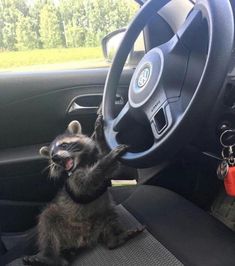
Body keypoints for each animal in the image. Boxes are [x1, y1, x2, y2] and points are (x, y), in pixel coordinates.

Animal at [22, 118, 143, 266]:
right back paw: (48, 256)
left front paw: (101, 138)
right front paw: (107, 158)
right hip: (61, 222)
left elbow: (112, 167)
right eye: (51, 155)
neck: (81, 162)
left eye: (63, 145)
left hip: (102, 215)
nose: (55, 158)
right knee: (47, 222)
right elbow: (85, 184)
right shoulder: (72, 180)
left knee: (110, 218)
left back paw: (114, 239)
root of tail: (83, 238)